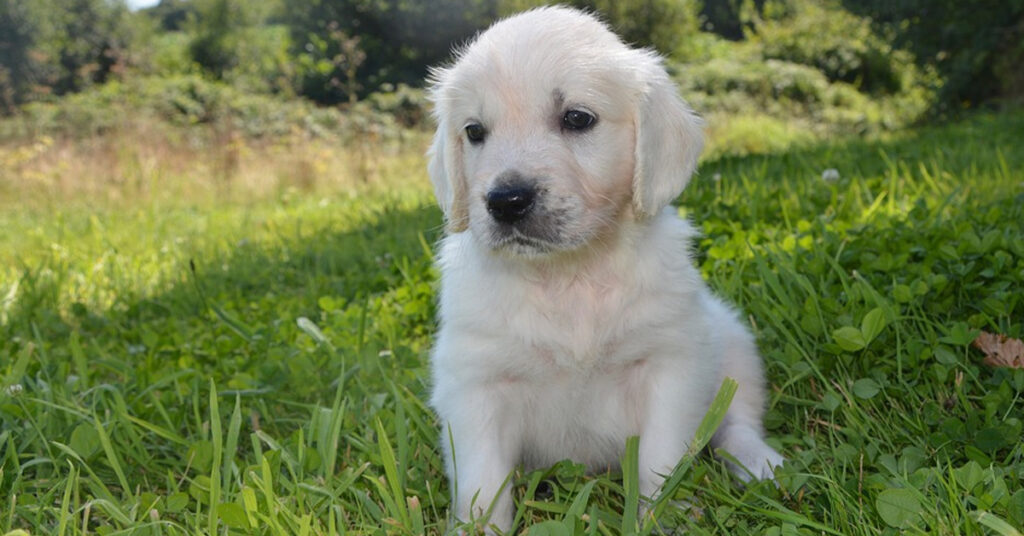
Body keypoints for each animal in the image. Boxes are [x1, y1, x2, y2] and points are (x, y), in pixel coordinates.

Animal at [423, 5, 782, 532]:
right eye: (473, 131)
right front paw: (482, 527)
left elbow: (661, 461)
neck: (569, 276)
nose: (506, 201)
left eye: (577, 118)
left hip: (734, 344)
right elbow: (482, 484)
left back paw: (760, 464)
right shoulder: (474, 384)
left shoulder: (671, 364)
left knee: (735, 423)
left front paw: (662, 518)